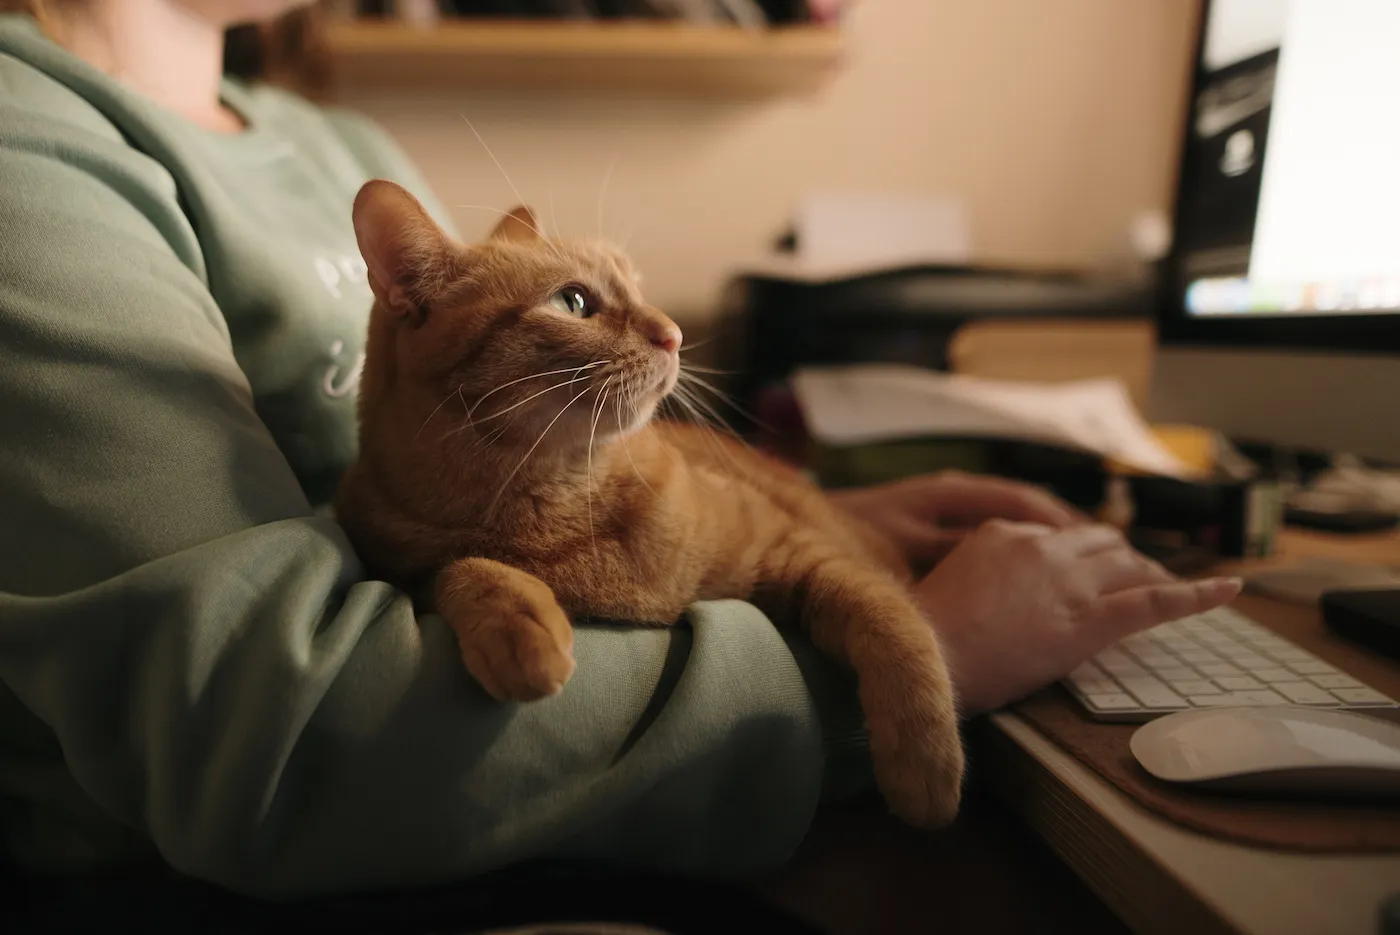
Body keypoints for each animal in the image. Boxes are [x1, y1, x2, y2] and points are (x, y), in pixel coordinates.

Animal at [331, 180, 963, 823]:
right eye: (573, 302)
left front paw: (925, 765)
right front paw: (515, 622)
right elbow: (455, 571)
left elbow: (892, 622)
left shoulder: (798, 552)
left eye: (638, 286)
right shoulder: (399, 565)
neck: (557, 503)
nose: (675, 334)